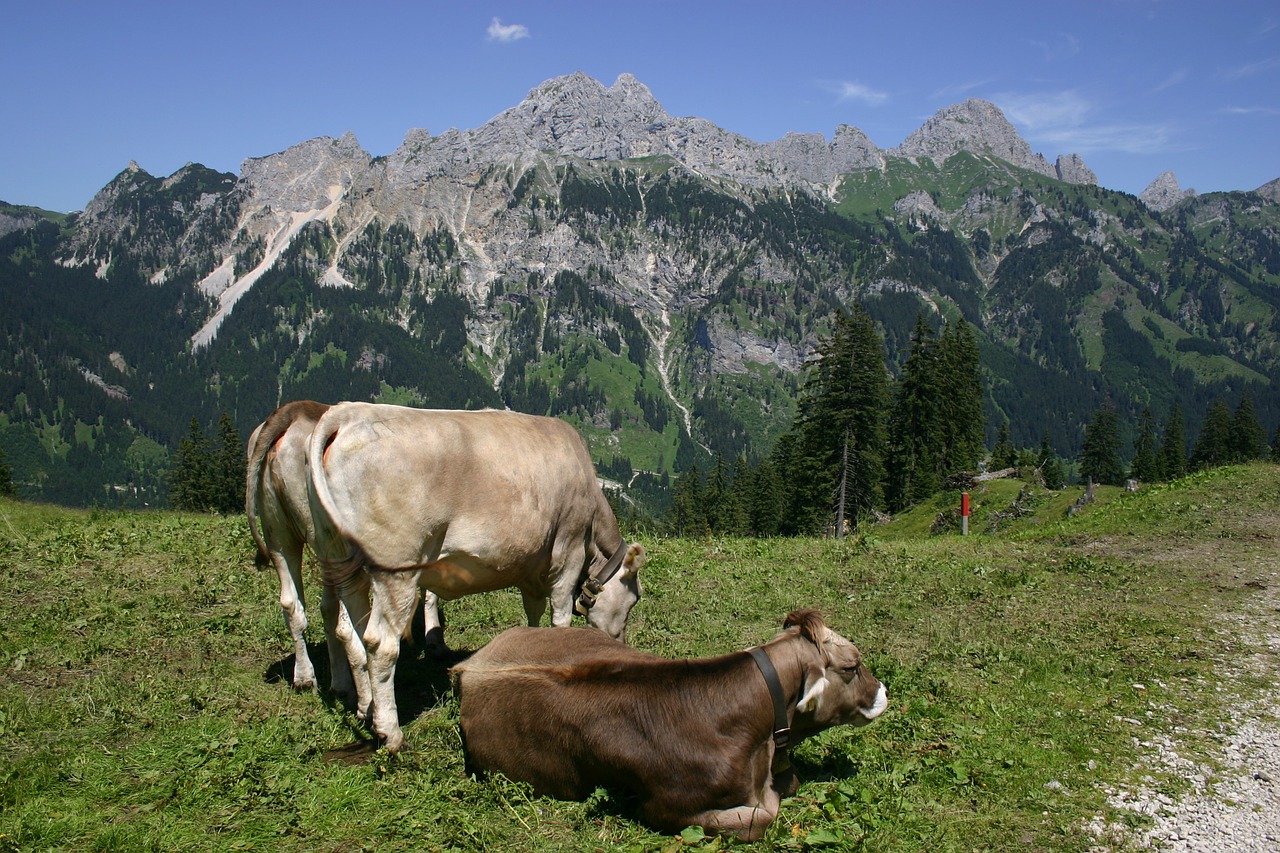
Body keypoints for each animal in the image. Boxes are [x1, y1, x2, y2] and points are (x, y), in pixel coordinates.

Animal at [305, 404, 645, 753]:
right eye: (634, 599)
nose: (619, 643)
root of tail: (349, 413)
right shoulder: (568, 549)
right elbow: (560, 616)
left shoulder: (533, 565)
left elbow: (533, 615)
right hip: (396, 567)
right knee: (380, 644)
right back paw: (391, 733)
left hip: (341, 557)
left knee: (350, 630)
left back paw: (366, 708)